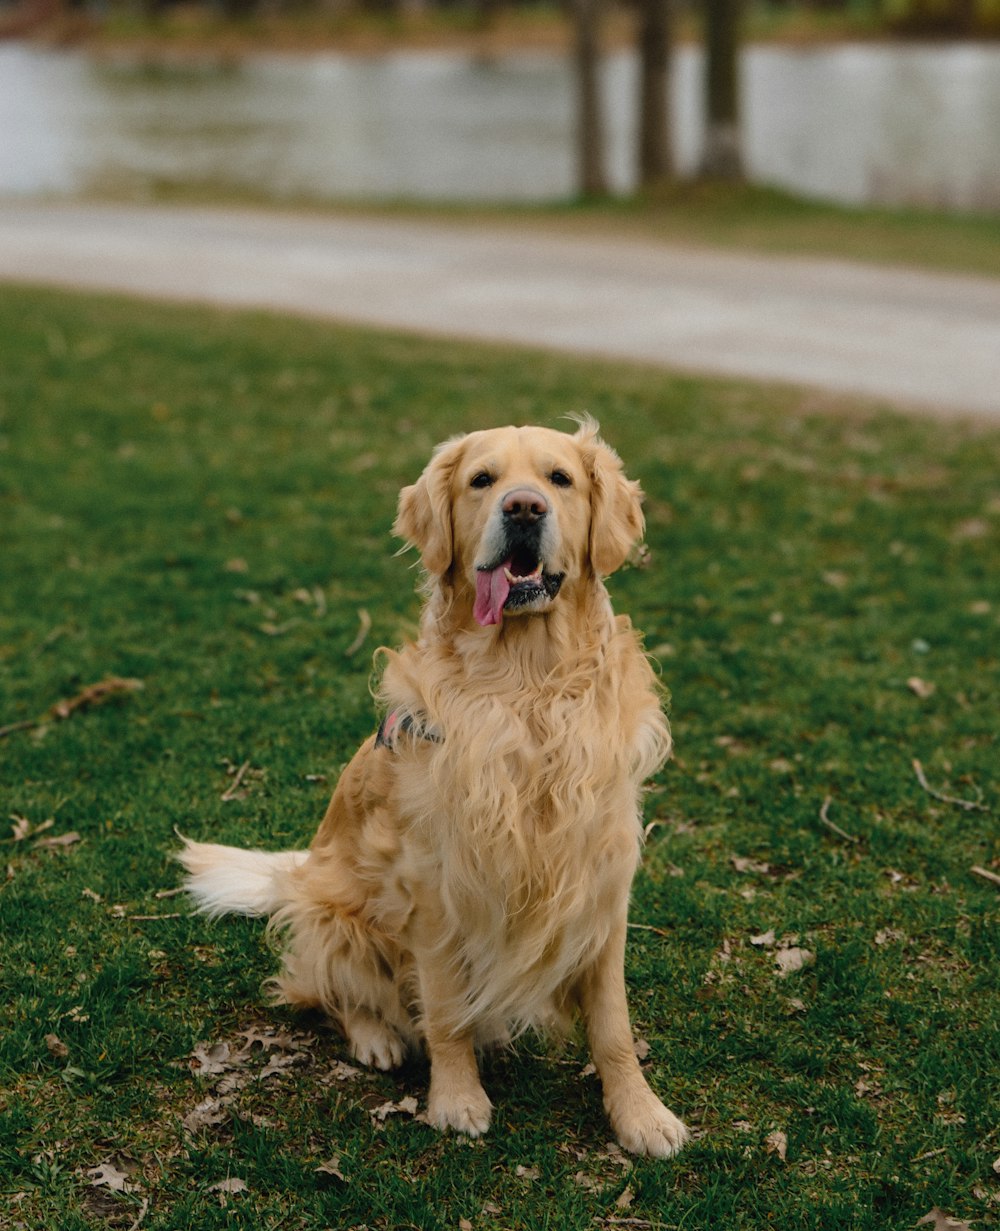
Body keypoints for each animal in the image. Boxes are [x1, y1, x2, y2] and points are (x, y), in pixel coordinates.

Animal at [179, 421, 689, 1152]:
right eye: (482, 480)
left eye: (559, 478)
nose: (524, 508)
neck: (527, 686)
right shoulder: (438, 884)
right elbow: (445, 1010)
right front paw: (456, 1098)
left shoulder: (600, 879)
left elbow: (613, 1024)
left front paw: (640, 1113)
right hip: (337, 916)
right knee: (327, 988)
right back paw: (375, 1038)